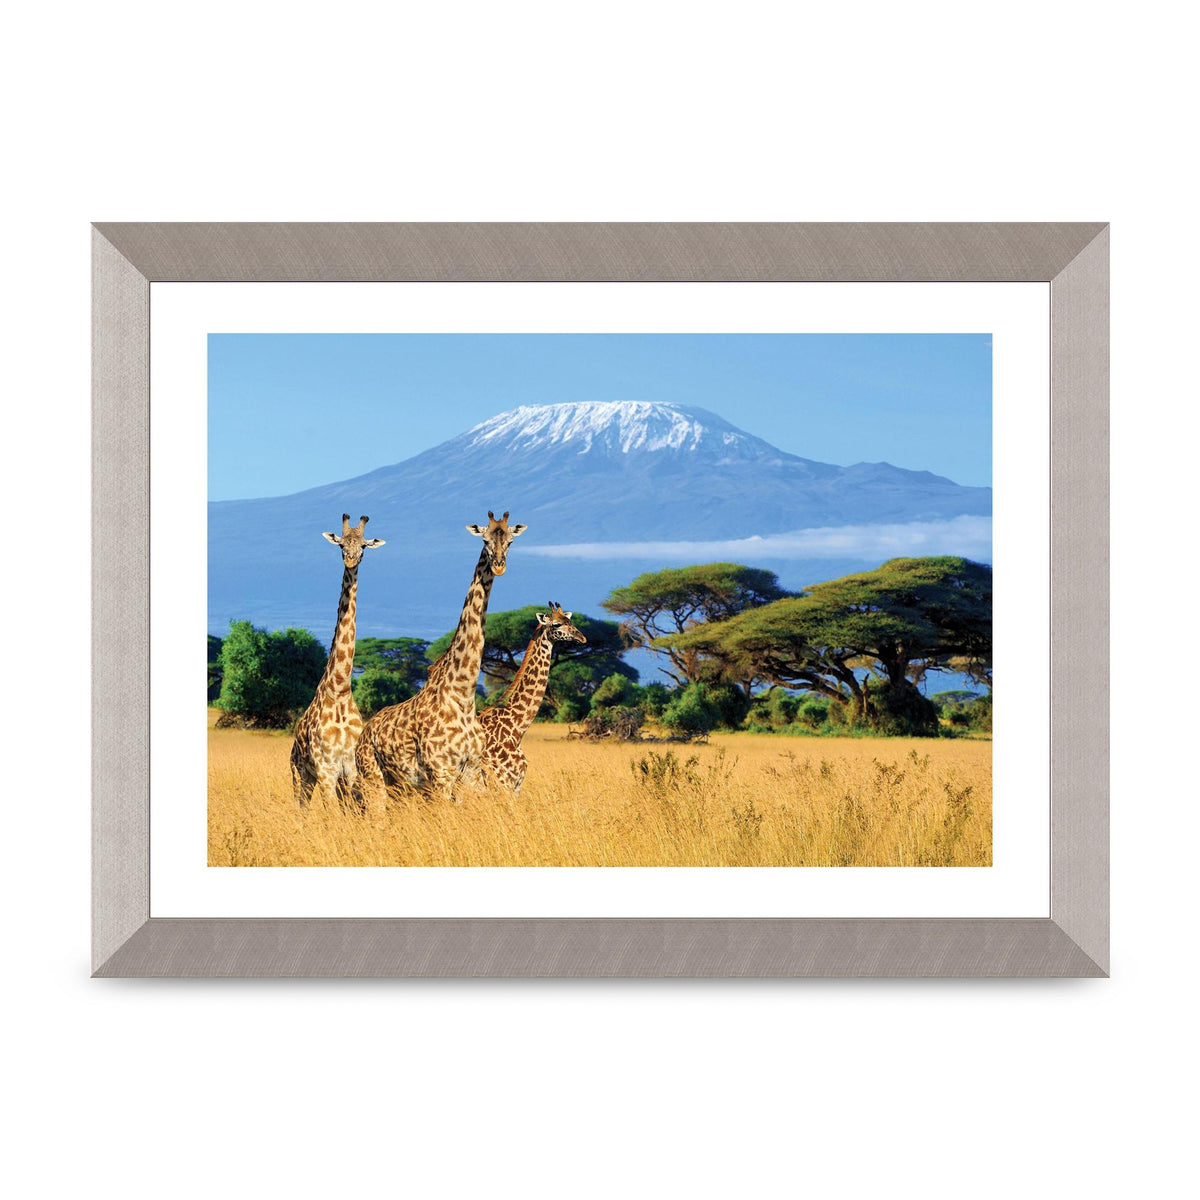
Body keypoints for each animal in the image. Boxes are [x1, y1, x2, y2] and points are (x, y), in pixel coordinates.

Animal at [290, 514, 385, 806]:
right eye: (341, 544)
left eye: (364, 546)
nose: (351, 560)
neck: (340, 688)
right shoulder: (326, 770)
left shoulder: (350, 769)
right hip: (300, 775)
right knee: (301, 807)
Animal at [355, 511, 526, 808]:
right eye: (485, 539)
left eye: (511, 541)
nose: (499, 566)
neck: (463, 694)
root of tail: (364, 734)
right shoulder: (441, 772)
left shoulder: (471, 771)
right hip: (373, 777)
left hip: (399, 785)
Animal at [479, 602, 586, 793]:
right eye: (556, 624)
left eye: (570, 621)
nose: (582, 638)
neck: (516, 727)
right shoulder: (503, 783)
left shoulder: (516, 785)